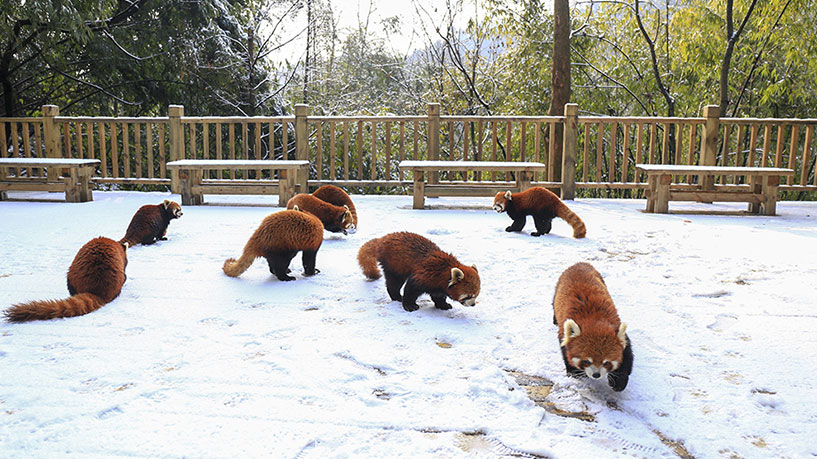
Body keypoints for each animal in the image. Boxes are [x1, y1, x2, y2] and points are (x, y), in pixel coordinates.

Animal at [552, 262, 636, 392]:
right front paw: (575, 372)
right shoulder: (564, 333)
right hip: (558, 288)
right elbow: (565, 352)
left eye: (606, 362)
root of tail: (579, 263)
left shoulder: (618, 331)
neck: (594, 321)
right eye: (586, 361)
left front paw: (619, 382)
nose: (596, 375)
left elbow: (627, 356)